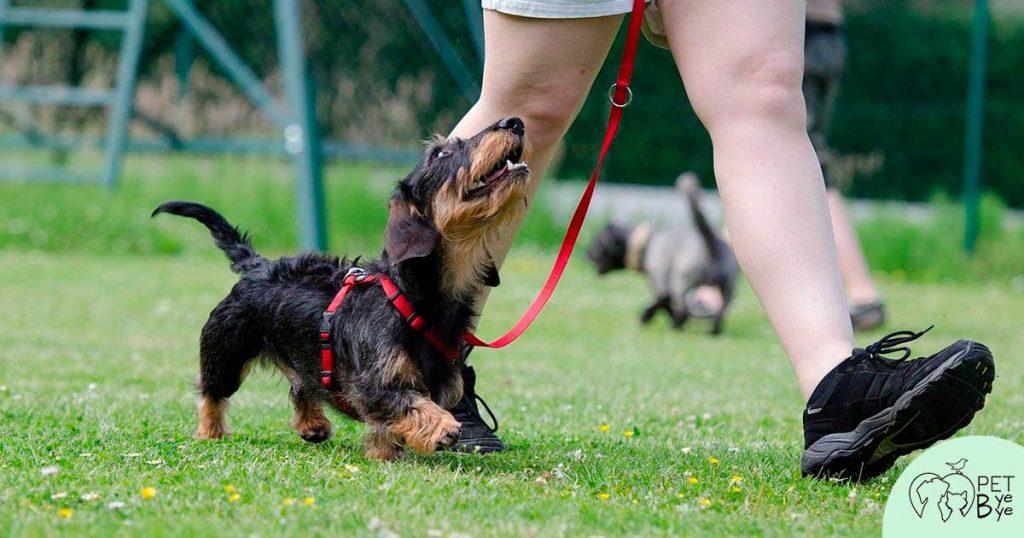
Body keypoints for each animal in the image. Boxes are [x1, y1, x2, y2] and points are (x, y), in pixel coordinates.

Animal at [155, 116, 532, 457]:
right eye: (440, 153)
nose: (514, 122)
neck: (411, 297)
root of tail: (259, 266)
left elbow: (389, 425)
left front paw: (384, 453)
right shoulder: (373, 384)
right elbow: (408, 403)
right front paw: (441, 427)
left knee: (301, 386)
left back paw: (312, 424)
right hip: (225, 351)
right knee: (211, 392)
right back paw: (210, 432)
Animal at [589, 173, 741, 332]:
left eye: (596, 244)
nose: (586, 255)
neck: (646, 243)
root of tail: (711, 241)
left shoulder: (660, 281)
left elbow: (663, 302)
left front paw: (646, 317)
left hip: (681, 282)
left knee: (682, 307)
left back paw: (675, 326)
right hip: (728, 288)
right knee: (720, 313)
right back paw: (712, 332)